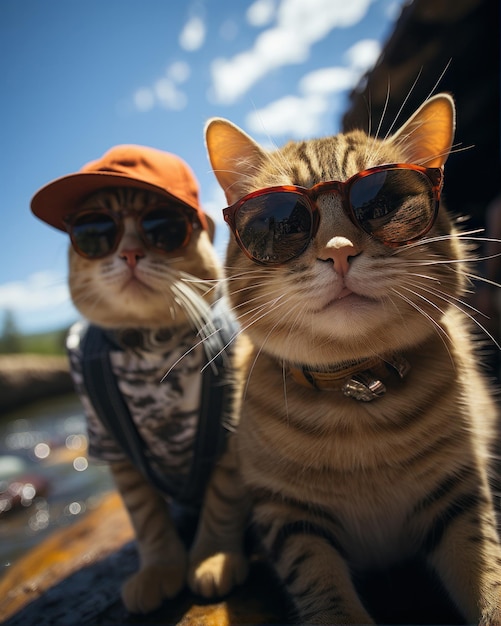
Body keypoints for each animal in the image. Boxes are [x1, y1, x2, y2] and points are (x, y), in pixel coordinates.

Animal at [187, 94, 500, 624]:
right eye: (284, 220)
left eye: (382, 205)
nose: (339, 251)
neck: (356, 392)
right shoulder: (290, 519)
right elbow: (325, 597)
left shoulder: (459, 496)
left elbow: (487, 573)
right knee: (220, 494)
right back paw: (212, 559)